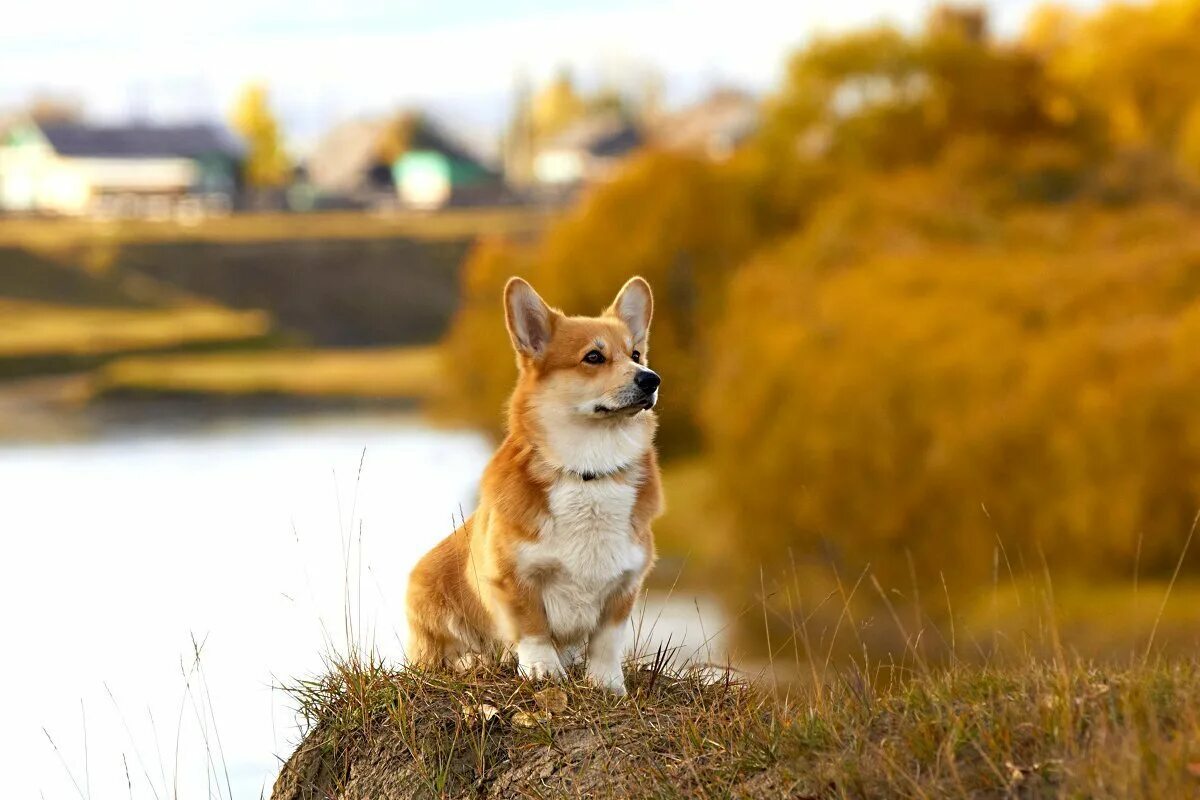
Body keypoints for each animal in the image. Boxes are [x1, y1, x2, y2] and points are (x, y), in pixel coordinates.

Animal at [408, 275, 662, 695]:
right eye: (594, 357)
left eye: (637, 354)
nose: (652, 379)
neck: (588, 471)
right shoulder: (512, 579)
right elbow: (533, 630)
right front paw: (544, 670)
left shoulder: (624, 585)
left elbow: (607, 641)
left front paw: (607, 683)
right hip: (432, 606)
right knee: (447, 655)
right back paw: (471, 661)